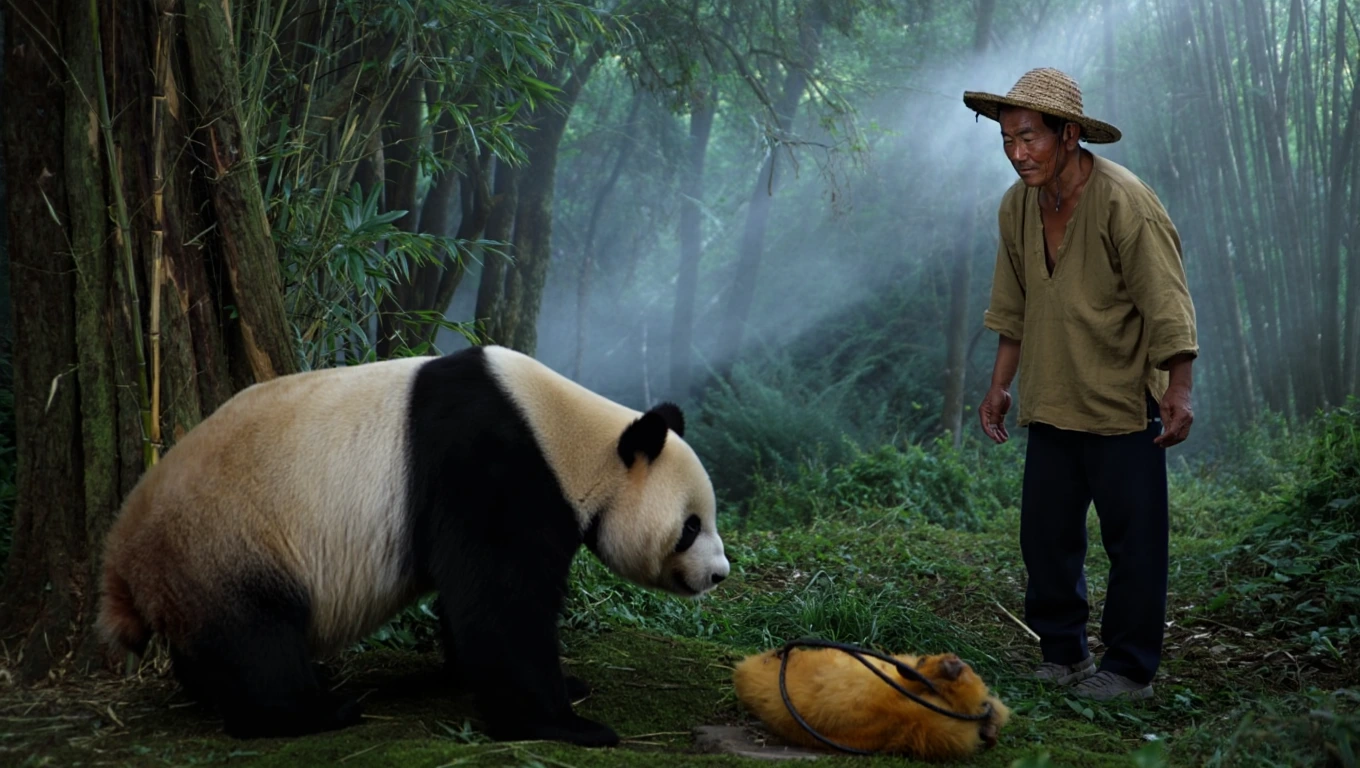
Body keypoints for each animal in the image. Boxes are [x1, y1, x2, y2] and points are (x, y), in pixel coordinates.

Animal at [96, 344, 730, 747]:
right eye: (691, 526)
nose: (719, 574)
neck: (570, 436)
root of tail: (123, 556)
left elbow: (469, 601)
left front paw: (558, 687)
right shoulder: (493, 463)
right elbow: (501, 605)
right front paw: (564, 723)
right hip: (229, 542)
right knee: (257, 639)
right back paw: (315, 710)